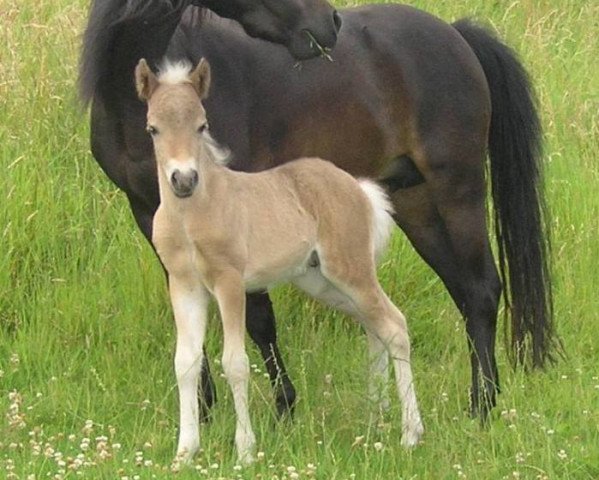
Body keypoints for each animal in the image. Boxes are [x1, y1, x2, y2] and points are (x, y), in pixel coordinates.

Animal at [81, 0, 556, 420]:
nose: (330, 22)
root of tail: (456, 34)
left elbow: (258, 317)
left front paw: (284, 408)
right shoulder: (151, 216)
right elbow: (189, 315)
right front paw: (204, 411)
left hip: (457, 191)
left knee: (481, 289)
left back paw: (482, 407)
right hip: (416, 203)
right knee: (463, 292)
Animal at [137, 58, 424, 464]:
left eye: (202, 125)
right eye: (153, 128)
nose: (184, 179)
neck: (192, 215)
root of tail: (358, 187)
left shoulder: (229, 282)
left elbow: (236, 364)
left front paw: (244, 451)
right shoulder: (184, 285)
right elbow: (186, 364)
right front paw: (184, 453)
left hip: (350, 270)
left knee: (395, 325)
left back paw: (410, 433)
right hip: (320, 282)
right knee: (375, 325)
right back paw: (376, 415)